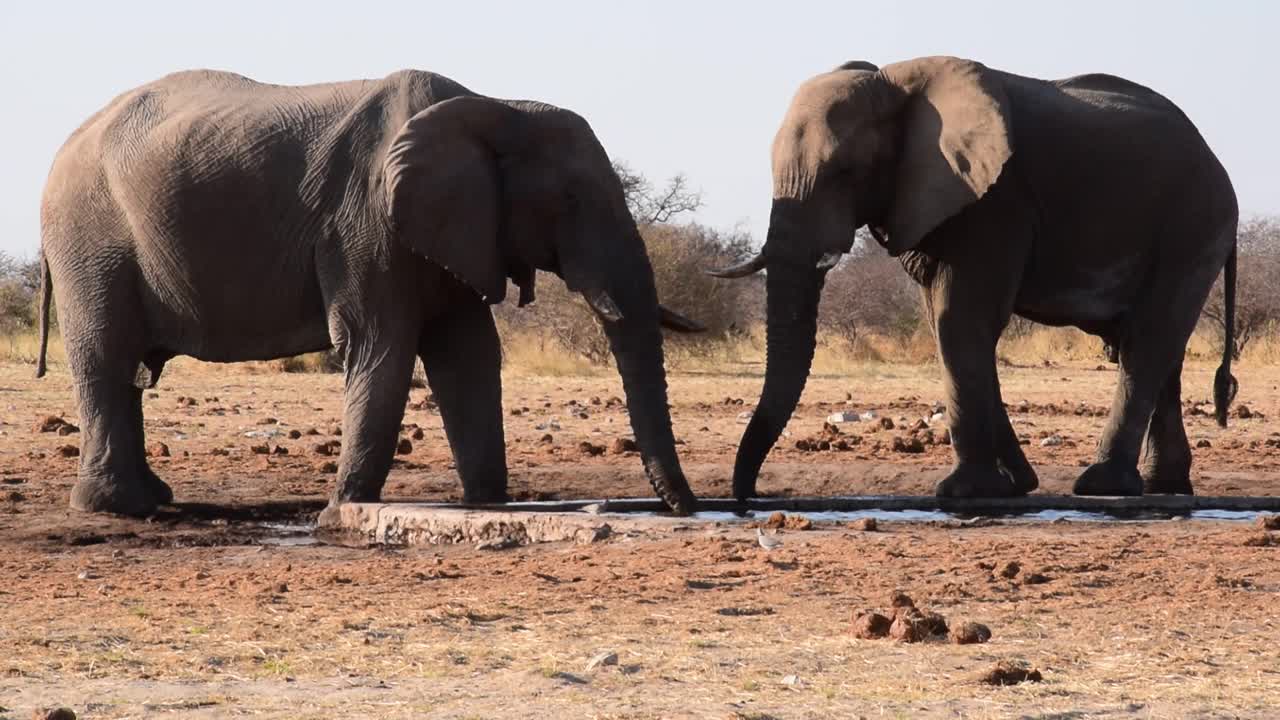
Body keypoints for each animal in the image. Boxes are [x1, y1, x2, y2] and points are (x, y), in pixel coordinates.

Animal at [37, 67, 701, 517]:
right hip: (89, 239)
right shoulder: (365, 223)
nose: (686, 508)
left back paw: (149, 501)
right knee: (106, 359)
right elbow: (381, 346)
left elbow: (467, 354)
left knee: (122, 371)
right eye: (568, 201)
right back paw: (117, 508)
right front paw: (344, 512)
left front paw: (486, 507)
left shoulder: (452, 230)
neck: (494, 106)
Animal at [716, 57, 1233, 499]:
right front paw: (1014, 484)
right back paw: (1164, 486)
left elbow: (960, 319)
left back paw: (1103, 486)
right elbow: (951, 323)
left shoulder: (996, 201)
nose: (748, 497)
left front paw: (966, 491)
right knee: (1159, 350)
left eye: (846, 171)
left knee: (1147, 341)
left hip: (1194, 226)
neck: (893, 82)